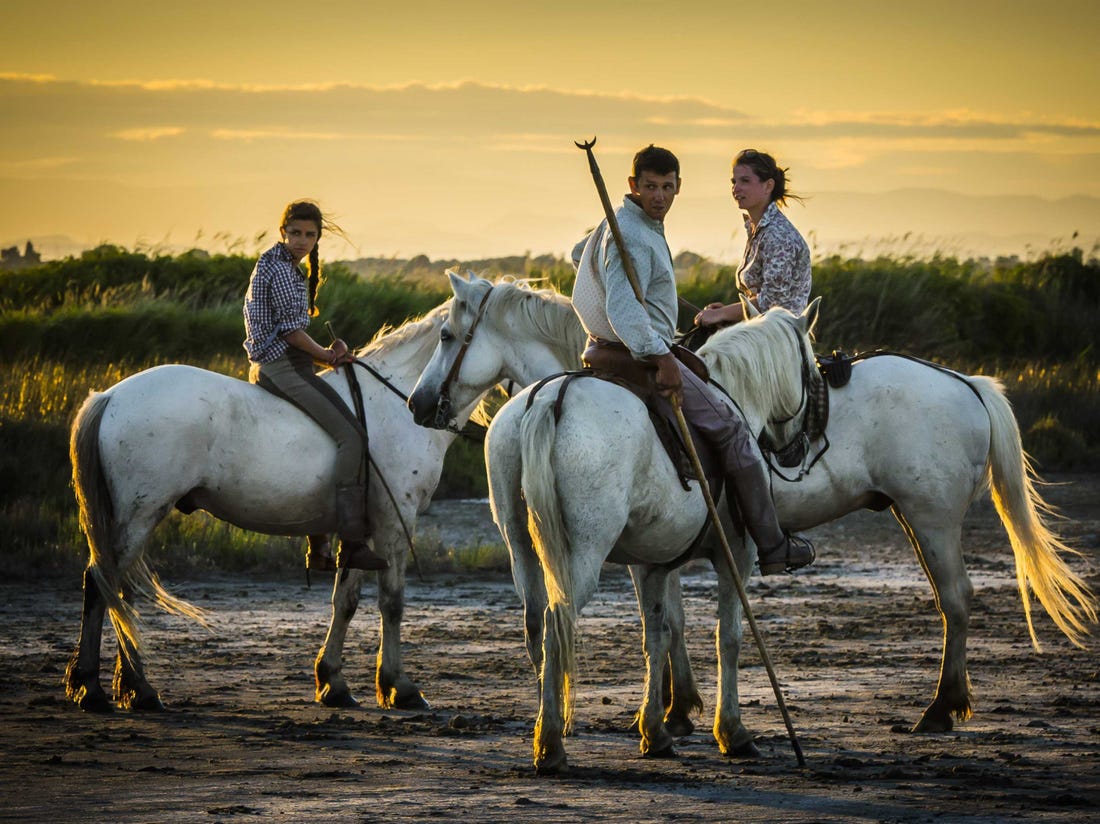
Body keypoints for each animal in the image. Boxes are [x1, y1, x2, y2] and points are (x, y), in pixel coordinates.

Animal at [64, 301, 486, 712]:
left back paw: (132, 690)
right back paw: (101, 689)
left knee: (120, 590)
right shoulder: (395, 523)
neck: (395, 401)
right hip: (140, 513)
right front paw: (400, 687)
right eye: (446, 336)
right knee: (100, 582)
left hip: (136, 517)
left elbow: (346, 601)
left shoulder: (362, 532)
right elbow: (392, 602)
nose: (422, 409)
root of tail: (110, 397)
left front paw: (333, 683)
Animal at [409, 275, 1095, 770]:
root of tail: (963, 381)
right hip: (916, 515)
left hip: (931, 515)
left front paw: (686, 718)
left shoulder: (690, 553)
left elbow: (693, 632)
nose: (418, 404)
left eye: (446, 334)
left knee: (955, 598)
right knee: (545, 622)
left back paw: (941, 709)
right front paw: (677, 718)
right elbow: (673, 629)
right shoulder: (664, 555)